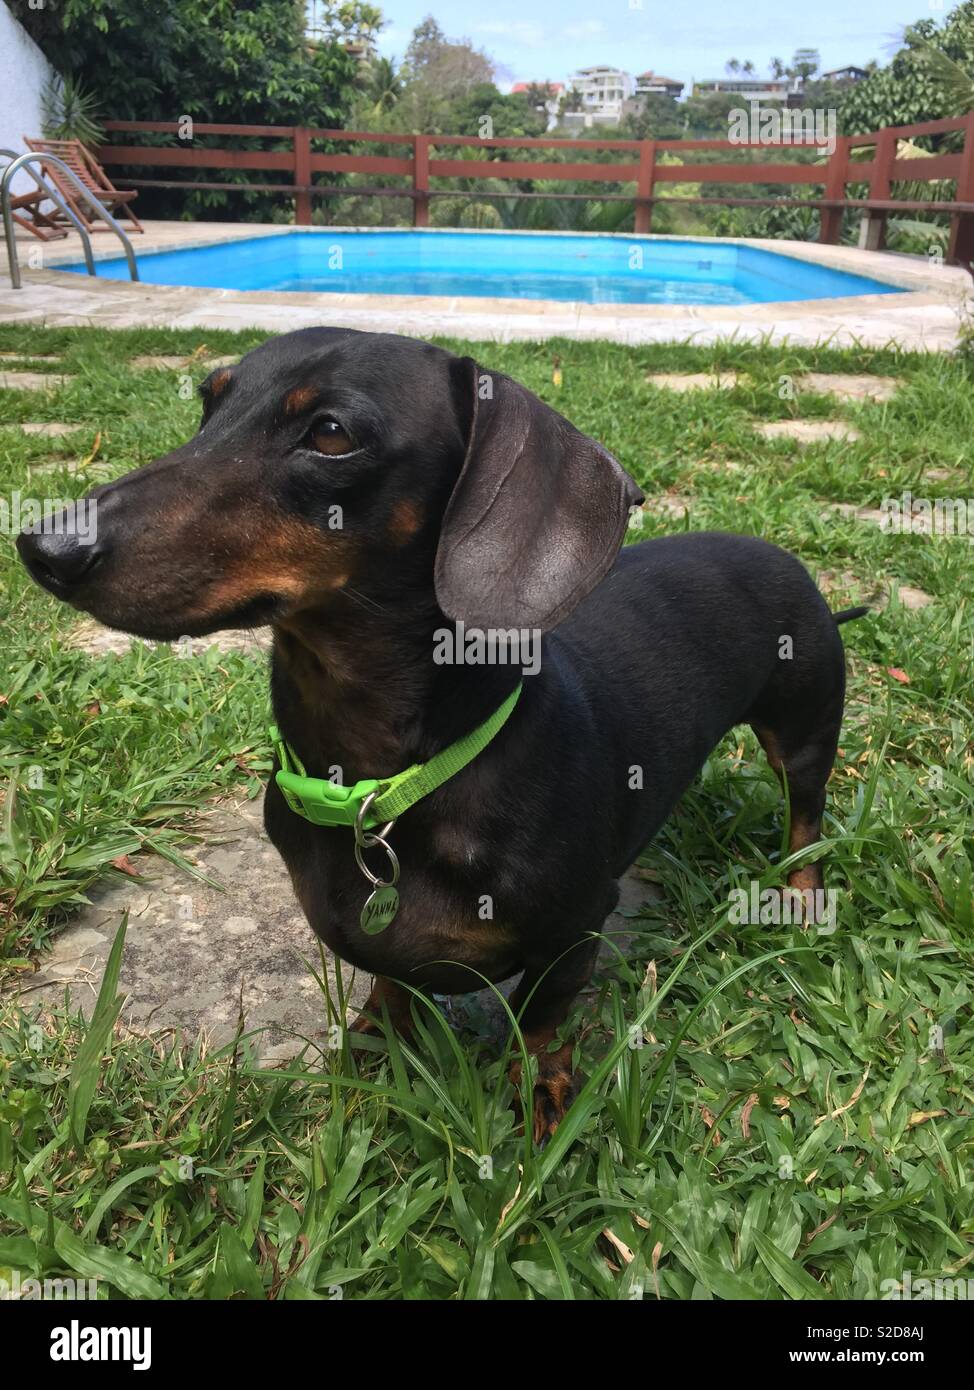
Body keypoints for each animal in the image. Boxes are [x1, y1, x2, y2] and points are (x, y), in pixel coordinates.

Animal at [19, 325, 861, 1139]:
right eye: (207, 404)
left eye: (331, 433)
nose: (42, 547)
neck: (382, 787)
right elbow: (390, 982)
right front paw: (371, 1043)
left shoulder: (576, 929)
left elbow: (542, 1022)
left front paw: (540, 1092)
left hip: (805, 729)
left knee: (806, 817)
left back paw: (800, 895)